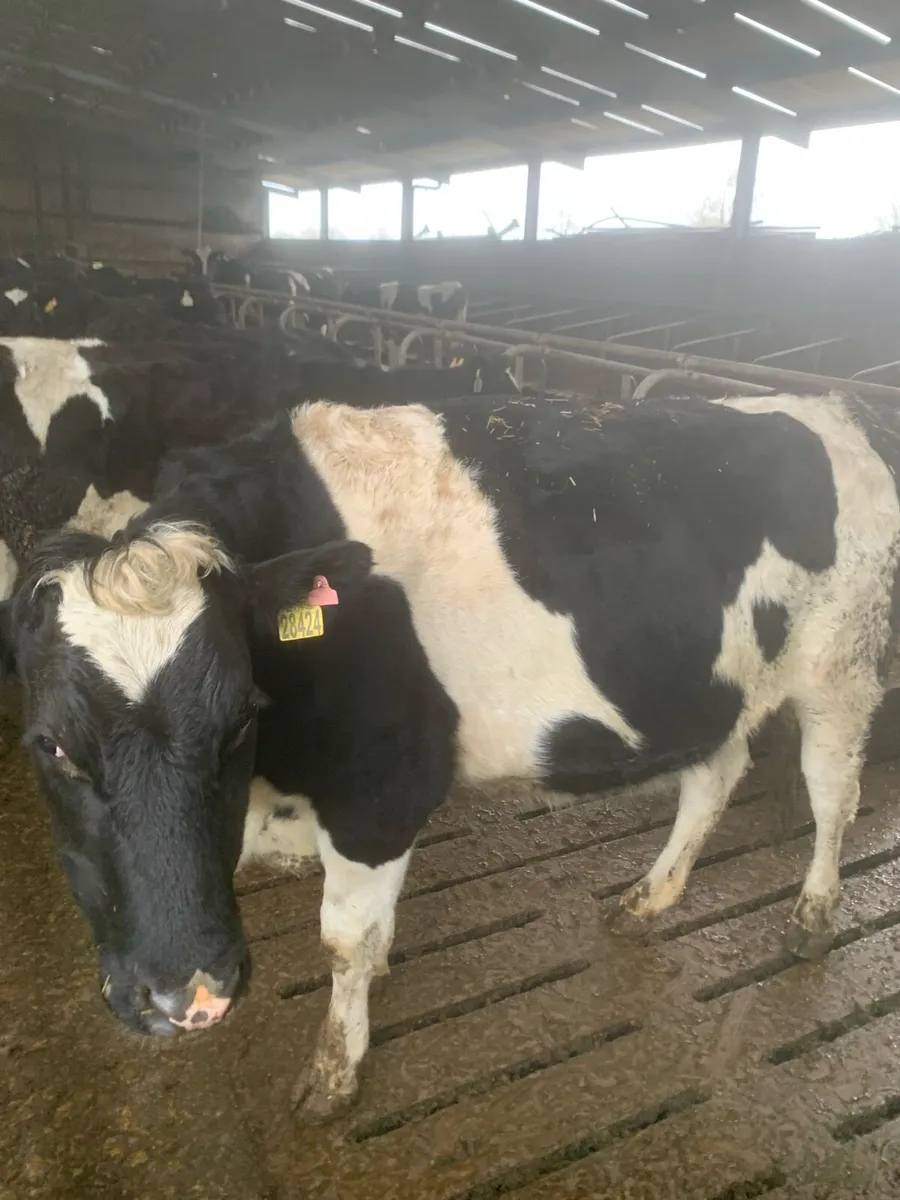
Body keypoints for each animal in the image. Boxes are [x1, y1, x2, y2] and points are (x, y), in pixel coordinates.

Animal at [2, 388, 897, 1123]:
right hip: (713, 686)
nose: (184, 997)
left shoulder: (380, 794)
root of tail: (835, 408)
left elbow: (344, 939)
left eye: (238, 720)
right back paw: (650, 897)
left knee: (833, 793)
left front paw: (333, 1073)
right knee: (713, 777)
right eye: (50, 744)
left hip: (840, 667)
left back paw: (812, 916)